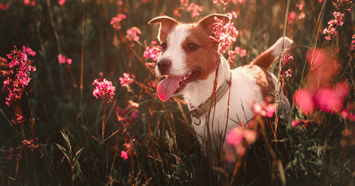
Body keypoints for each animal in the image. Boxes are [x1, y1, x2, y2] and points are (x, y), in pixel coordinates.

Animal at [149, 14, 294, 148]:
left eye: (191, 46)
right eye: (163, 46)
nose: (161, 64)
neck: (211, 99)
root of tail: (257, 66)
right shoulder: (207, 143)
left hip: (283, 108)